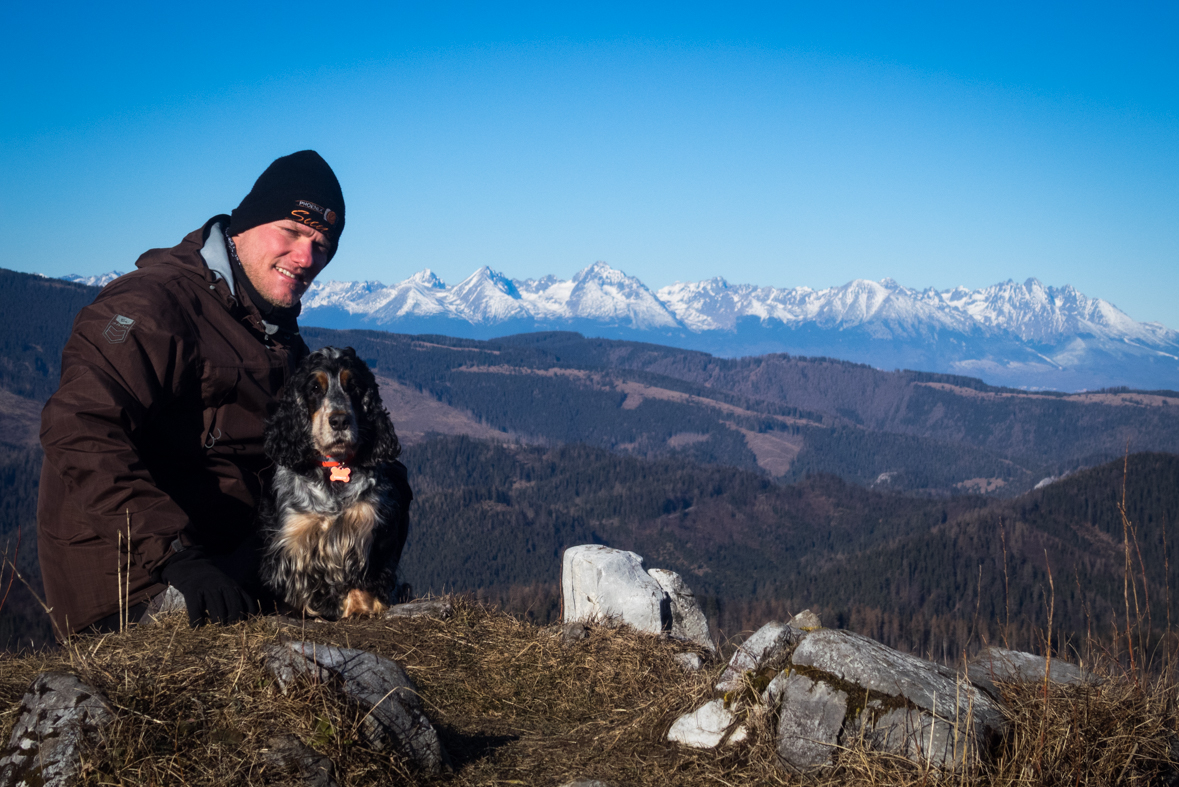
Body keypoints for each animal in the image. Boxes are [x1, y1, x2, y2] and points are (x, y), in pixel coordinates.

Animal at [260, 346, 412, 617]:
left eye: (353, 386)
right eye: (315, 388)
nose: (340, 421)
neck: (334, 467)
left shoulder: (367, 529)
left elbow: (364, 577)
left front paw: (361, 608)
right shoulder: (293, 538)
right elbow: (294, 585)